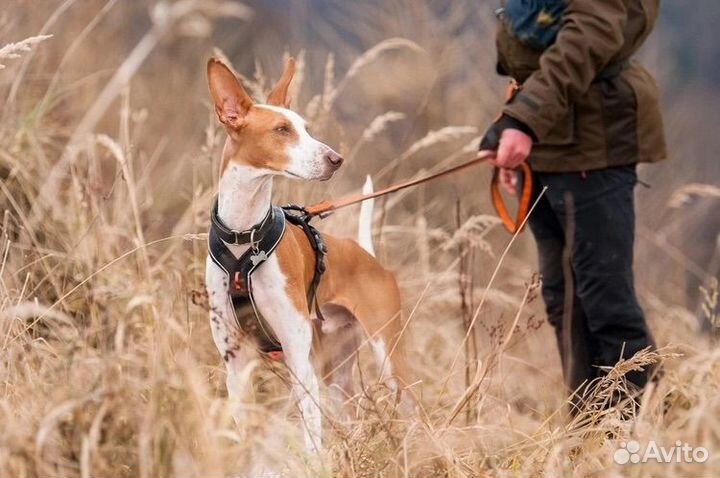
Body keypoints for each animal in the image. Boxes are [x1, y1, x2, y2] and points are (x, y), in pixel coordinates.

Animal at [205, 56, 414, 452]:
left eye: (305, 127)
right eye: (282, 129)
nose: (336, 159)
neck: (244, 237)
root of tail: (367, 255)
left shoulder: (299, 361)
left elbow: (312, 443)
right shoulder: (235, 363)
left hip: (386, 359)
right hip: (337, 375)